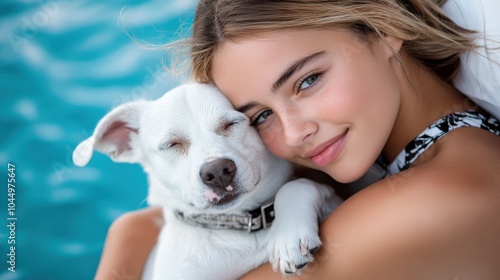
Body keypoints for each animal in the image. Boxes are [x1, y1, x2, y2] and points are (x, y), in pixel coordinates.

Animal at [72, 83, 342, 280]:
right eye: (171, 144)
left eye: (232, 123)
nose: (218, 171)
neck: (236, 225)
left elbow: (297, 185)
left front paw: (290, 237)